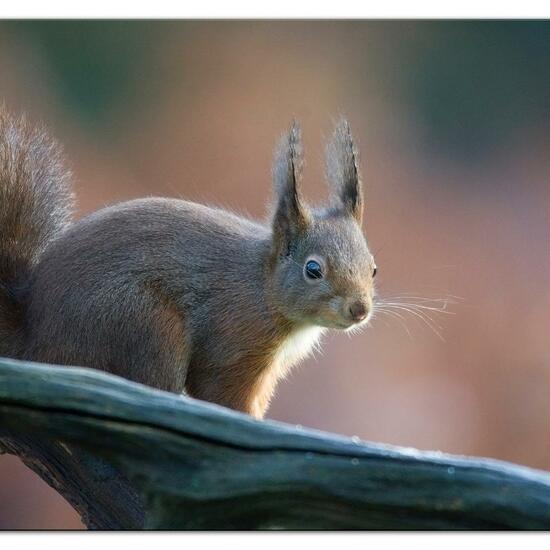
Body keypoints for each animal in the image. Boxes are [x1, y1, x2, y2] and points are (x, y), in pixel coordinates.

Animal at [0, 106, 378, 418]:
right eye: (313, 269)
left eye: (374, 268)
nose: (359, 309)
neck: (263, 288)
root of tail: (32, 336)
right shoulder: (231, 346)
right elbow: (221, 392)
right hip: (146, 324)